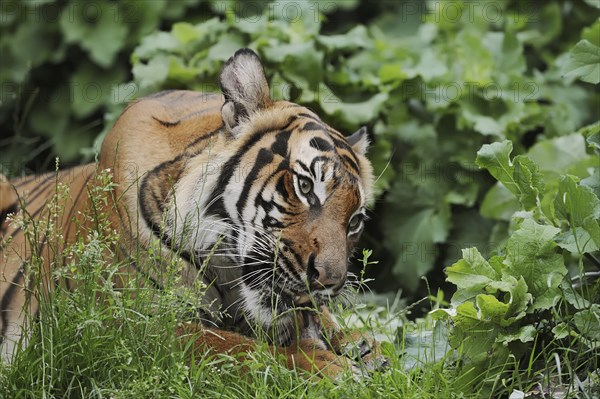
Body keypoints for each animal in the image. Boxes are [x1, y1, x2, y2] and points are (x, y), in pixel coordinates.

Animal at [0, 48, 384, 376]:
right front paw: (323, 365)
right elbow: (233, 347)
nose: (329, 282)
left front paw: (360, 345)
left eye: (354, 221)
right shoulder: (128, 323)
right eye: (305, 186)